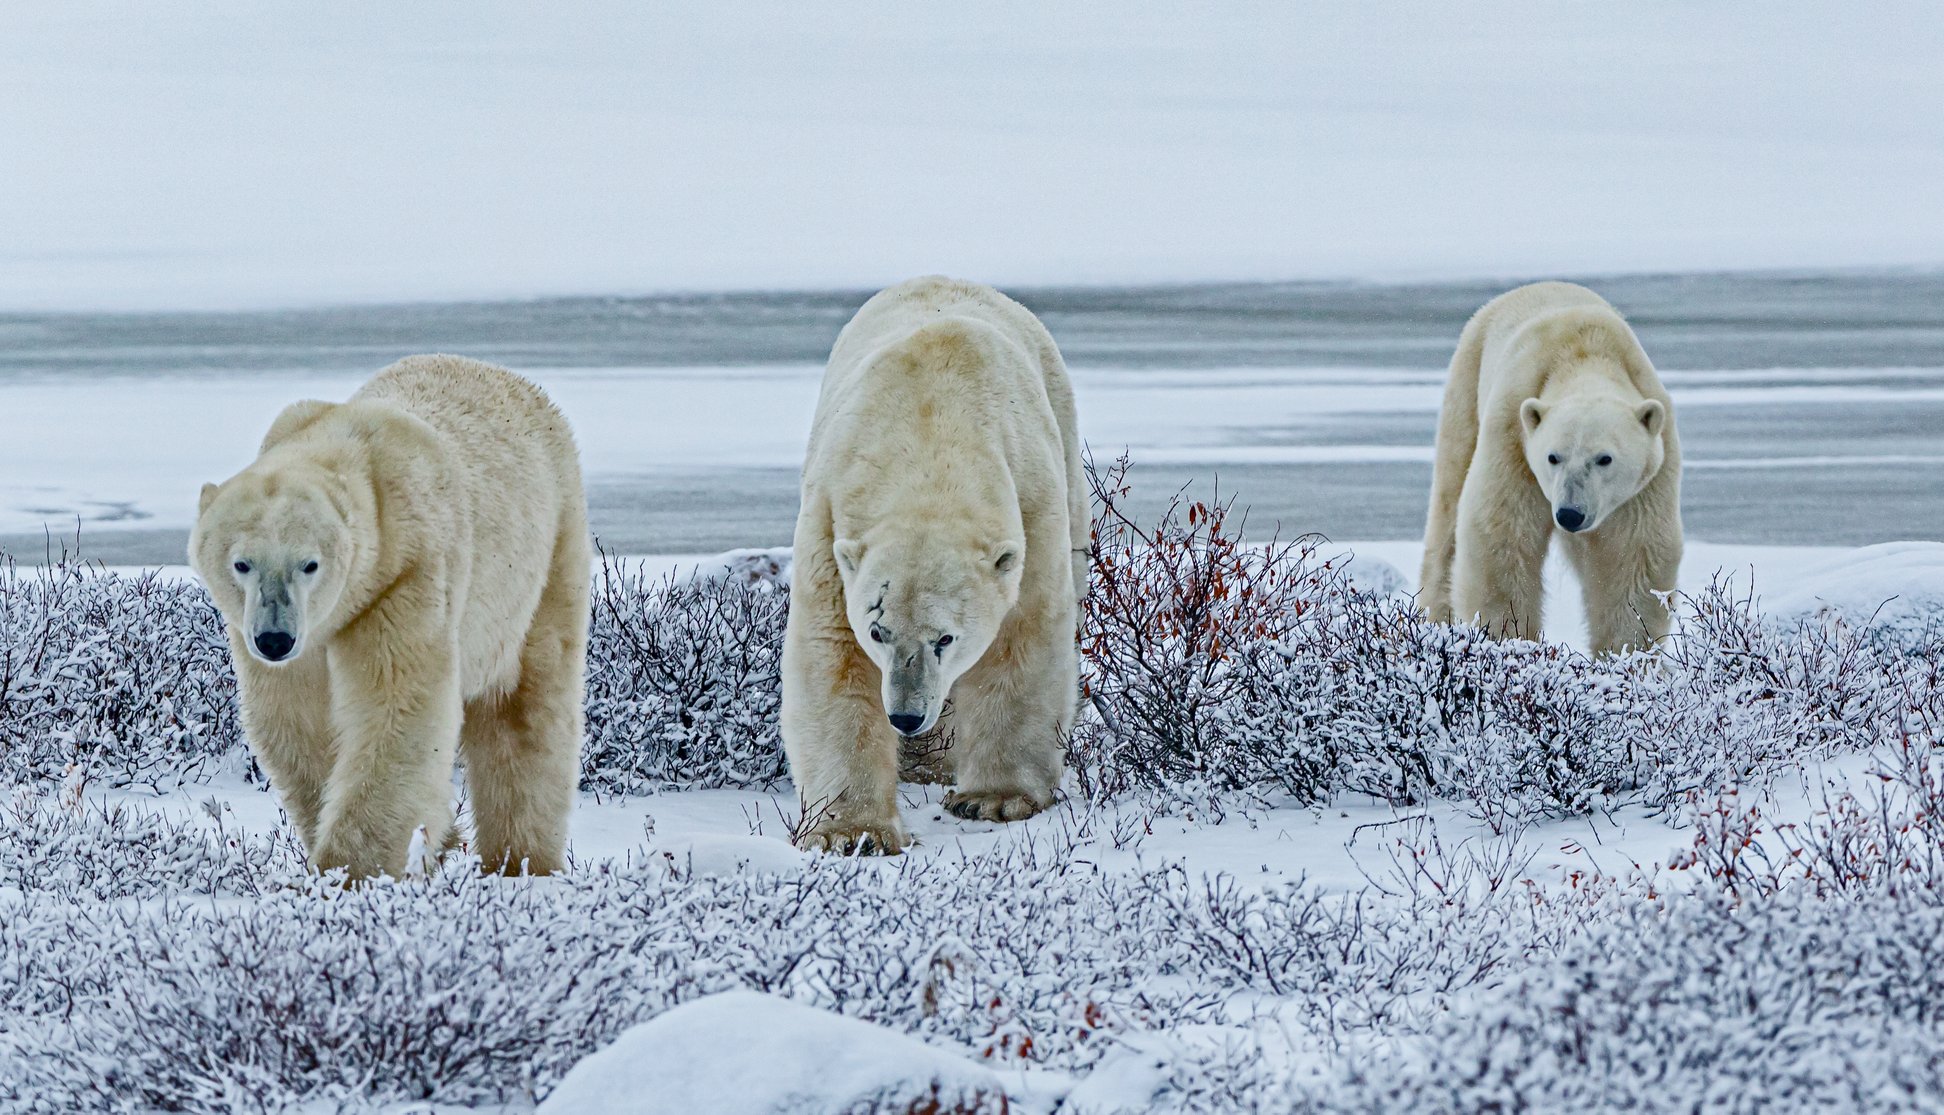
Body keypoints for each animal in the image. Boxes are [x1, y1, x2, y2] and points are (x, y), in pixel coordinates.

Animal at [190, 357, 587, 881]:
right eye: (242, 563)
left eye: (309, 564)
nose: (275, 638)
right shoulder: (283, 633)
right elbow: (295, 718)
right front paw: (432, 841)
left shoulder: (406, 572)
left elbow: (399, 708)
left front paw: (348, 871)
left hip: (547, 551)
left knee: (528, 708)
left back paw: (520, 860)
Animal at [789, 279, 1096, 854]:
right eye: (878, 631)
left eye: (946, 638)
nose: (906, 715)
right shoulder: (831, 516)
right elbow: (832, 652)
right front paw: (851, 832)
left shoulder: (1031, 504)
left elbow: (1024, 638)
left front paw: (994, 798)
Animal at [1423, 283, 1679, 660]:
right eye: (1552, 457)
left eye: (1604, 459)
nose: (1570, 514)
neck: (1585, 354)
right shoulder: (1513, 434)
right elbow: (1500, 535)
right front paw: (1508, 640)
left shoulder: (1648, 476)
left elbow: (1633, 554)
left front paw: (1627, 654)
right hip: (1467, 383)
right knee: (1448, 508)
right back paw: (1435, 619)